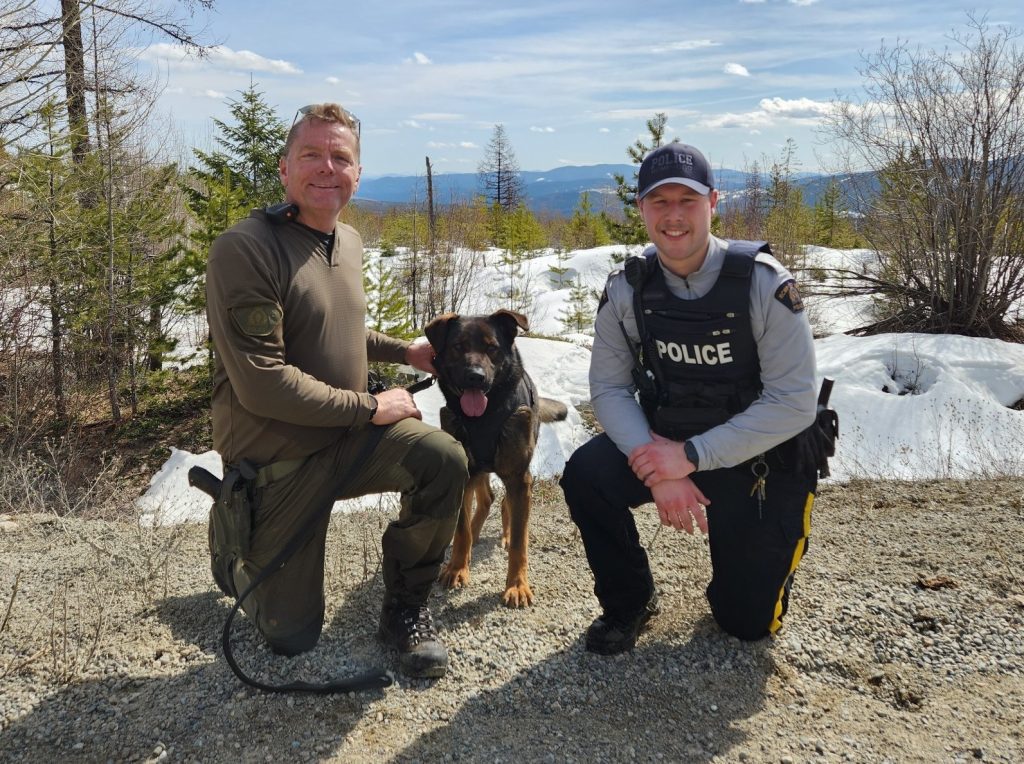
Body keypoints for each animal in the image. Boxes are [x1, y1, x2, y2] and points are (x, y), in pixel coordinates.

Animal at [423, 307, 569, 602]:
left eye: (492, 348)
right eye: (458, 347)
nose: (475, 376)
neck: (484, 417)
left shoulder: (518, 477)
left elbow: (520, 543)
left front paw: (517, 585)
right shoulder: (465, 472)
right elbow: (462, 527)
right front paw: (457, 568)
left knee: (503, 503)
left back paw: (504, 535)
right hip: (479, 469)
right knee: (485, 500)